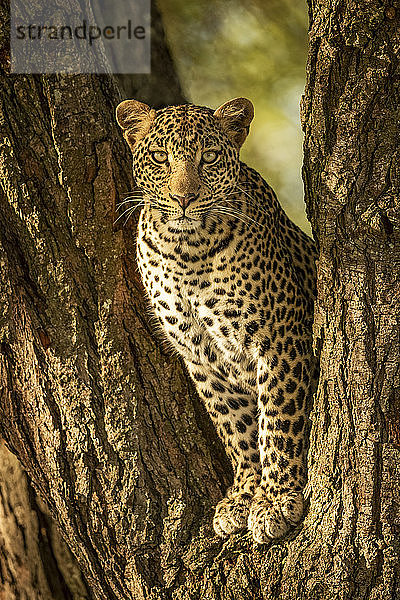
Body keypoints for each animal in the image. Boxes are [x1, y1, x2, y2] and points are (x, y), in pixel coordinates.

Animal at [116, 97, 318, 544]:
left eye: (207, 157)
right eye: (160, 157)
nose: (184, 198)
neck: (187, 248)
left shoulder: (279, 338)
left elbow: (276, 421)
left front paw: (275, 500)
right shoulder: (200, 355)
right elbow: (236, 428)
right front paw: (243, 496)